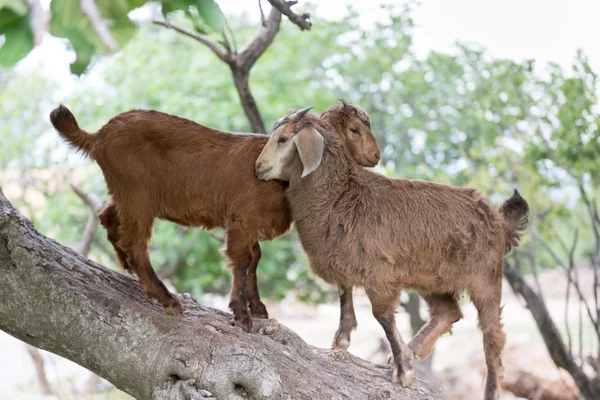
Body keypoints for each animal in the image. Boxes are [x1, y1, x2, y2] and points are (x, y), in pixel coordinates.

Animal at [51, 101, 380, 332]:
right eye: (354, 129)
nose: (376, 156)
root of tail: (99, 136)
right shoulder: (242, 220)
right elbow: (242, 261)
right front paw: (242, 316)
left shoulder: (249, 224)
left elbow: (254, 259)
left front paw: (257, 308)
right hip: (138, 196)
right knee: (136, 242)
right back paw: (167, 298)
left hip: (126, 195)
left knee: (108, 216)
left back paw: (128, 266)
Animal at [255, 110, 528, 400]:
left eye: (283, 139)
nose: (258, 167)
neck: (342, 195)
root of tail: (499, 220)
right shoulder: (345, 261)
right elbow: (345, 294)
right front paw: (346, 342)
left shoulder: (381, 274)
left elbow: (383, 316)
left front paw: (403, 371)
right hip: (433, 278)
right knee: (448, 313)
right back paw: (415, 348)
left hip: (486, 278)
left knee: (493, 336)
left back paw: (489, 388)